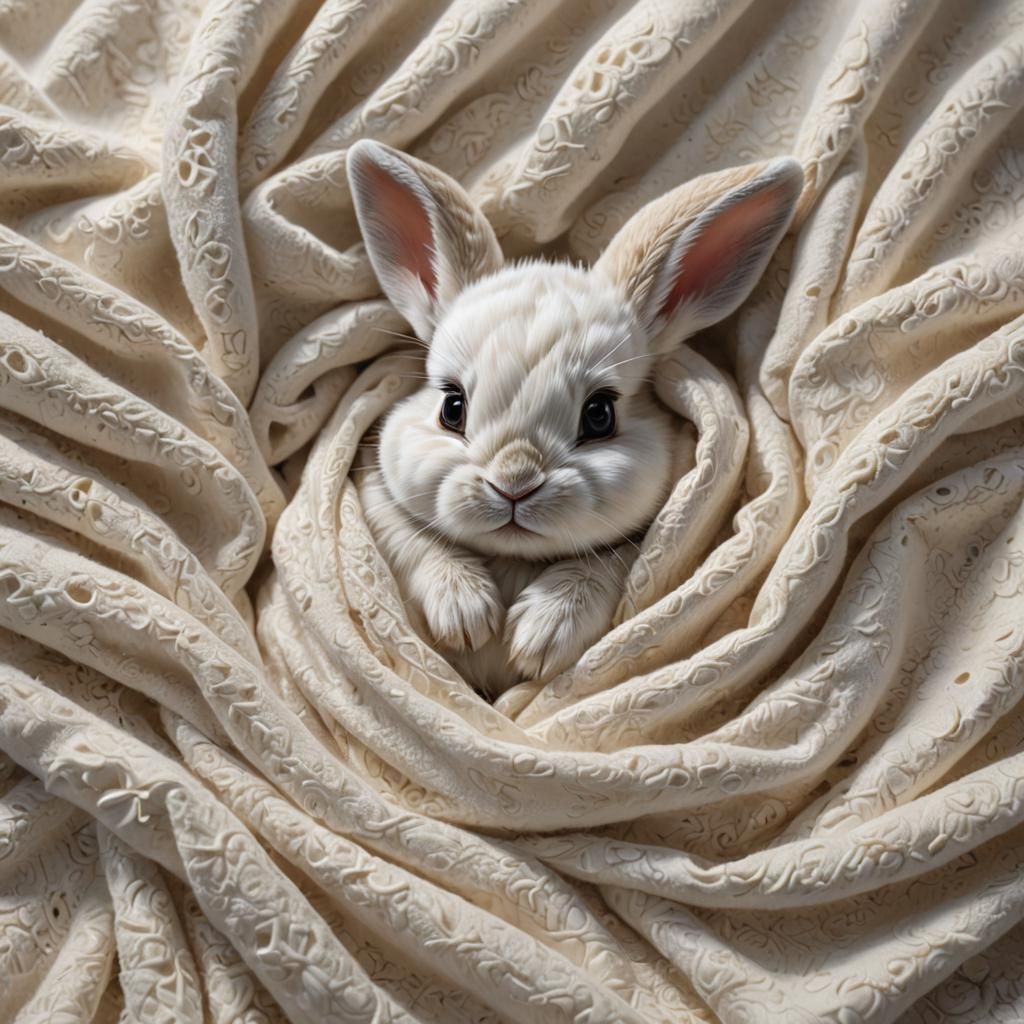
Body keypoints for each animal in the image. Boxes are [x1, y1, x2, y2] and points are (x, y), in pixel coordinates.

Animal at [346, 140, 802, 699]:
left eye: (600, 414)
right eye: (452, 407)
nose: (514, 483)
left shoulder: (655, 543)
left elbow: (607, 564)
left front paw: (538, 637)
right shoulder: (374, 496)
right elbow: (417, 542)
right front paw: (467, 615)